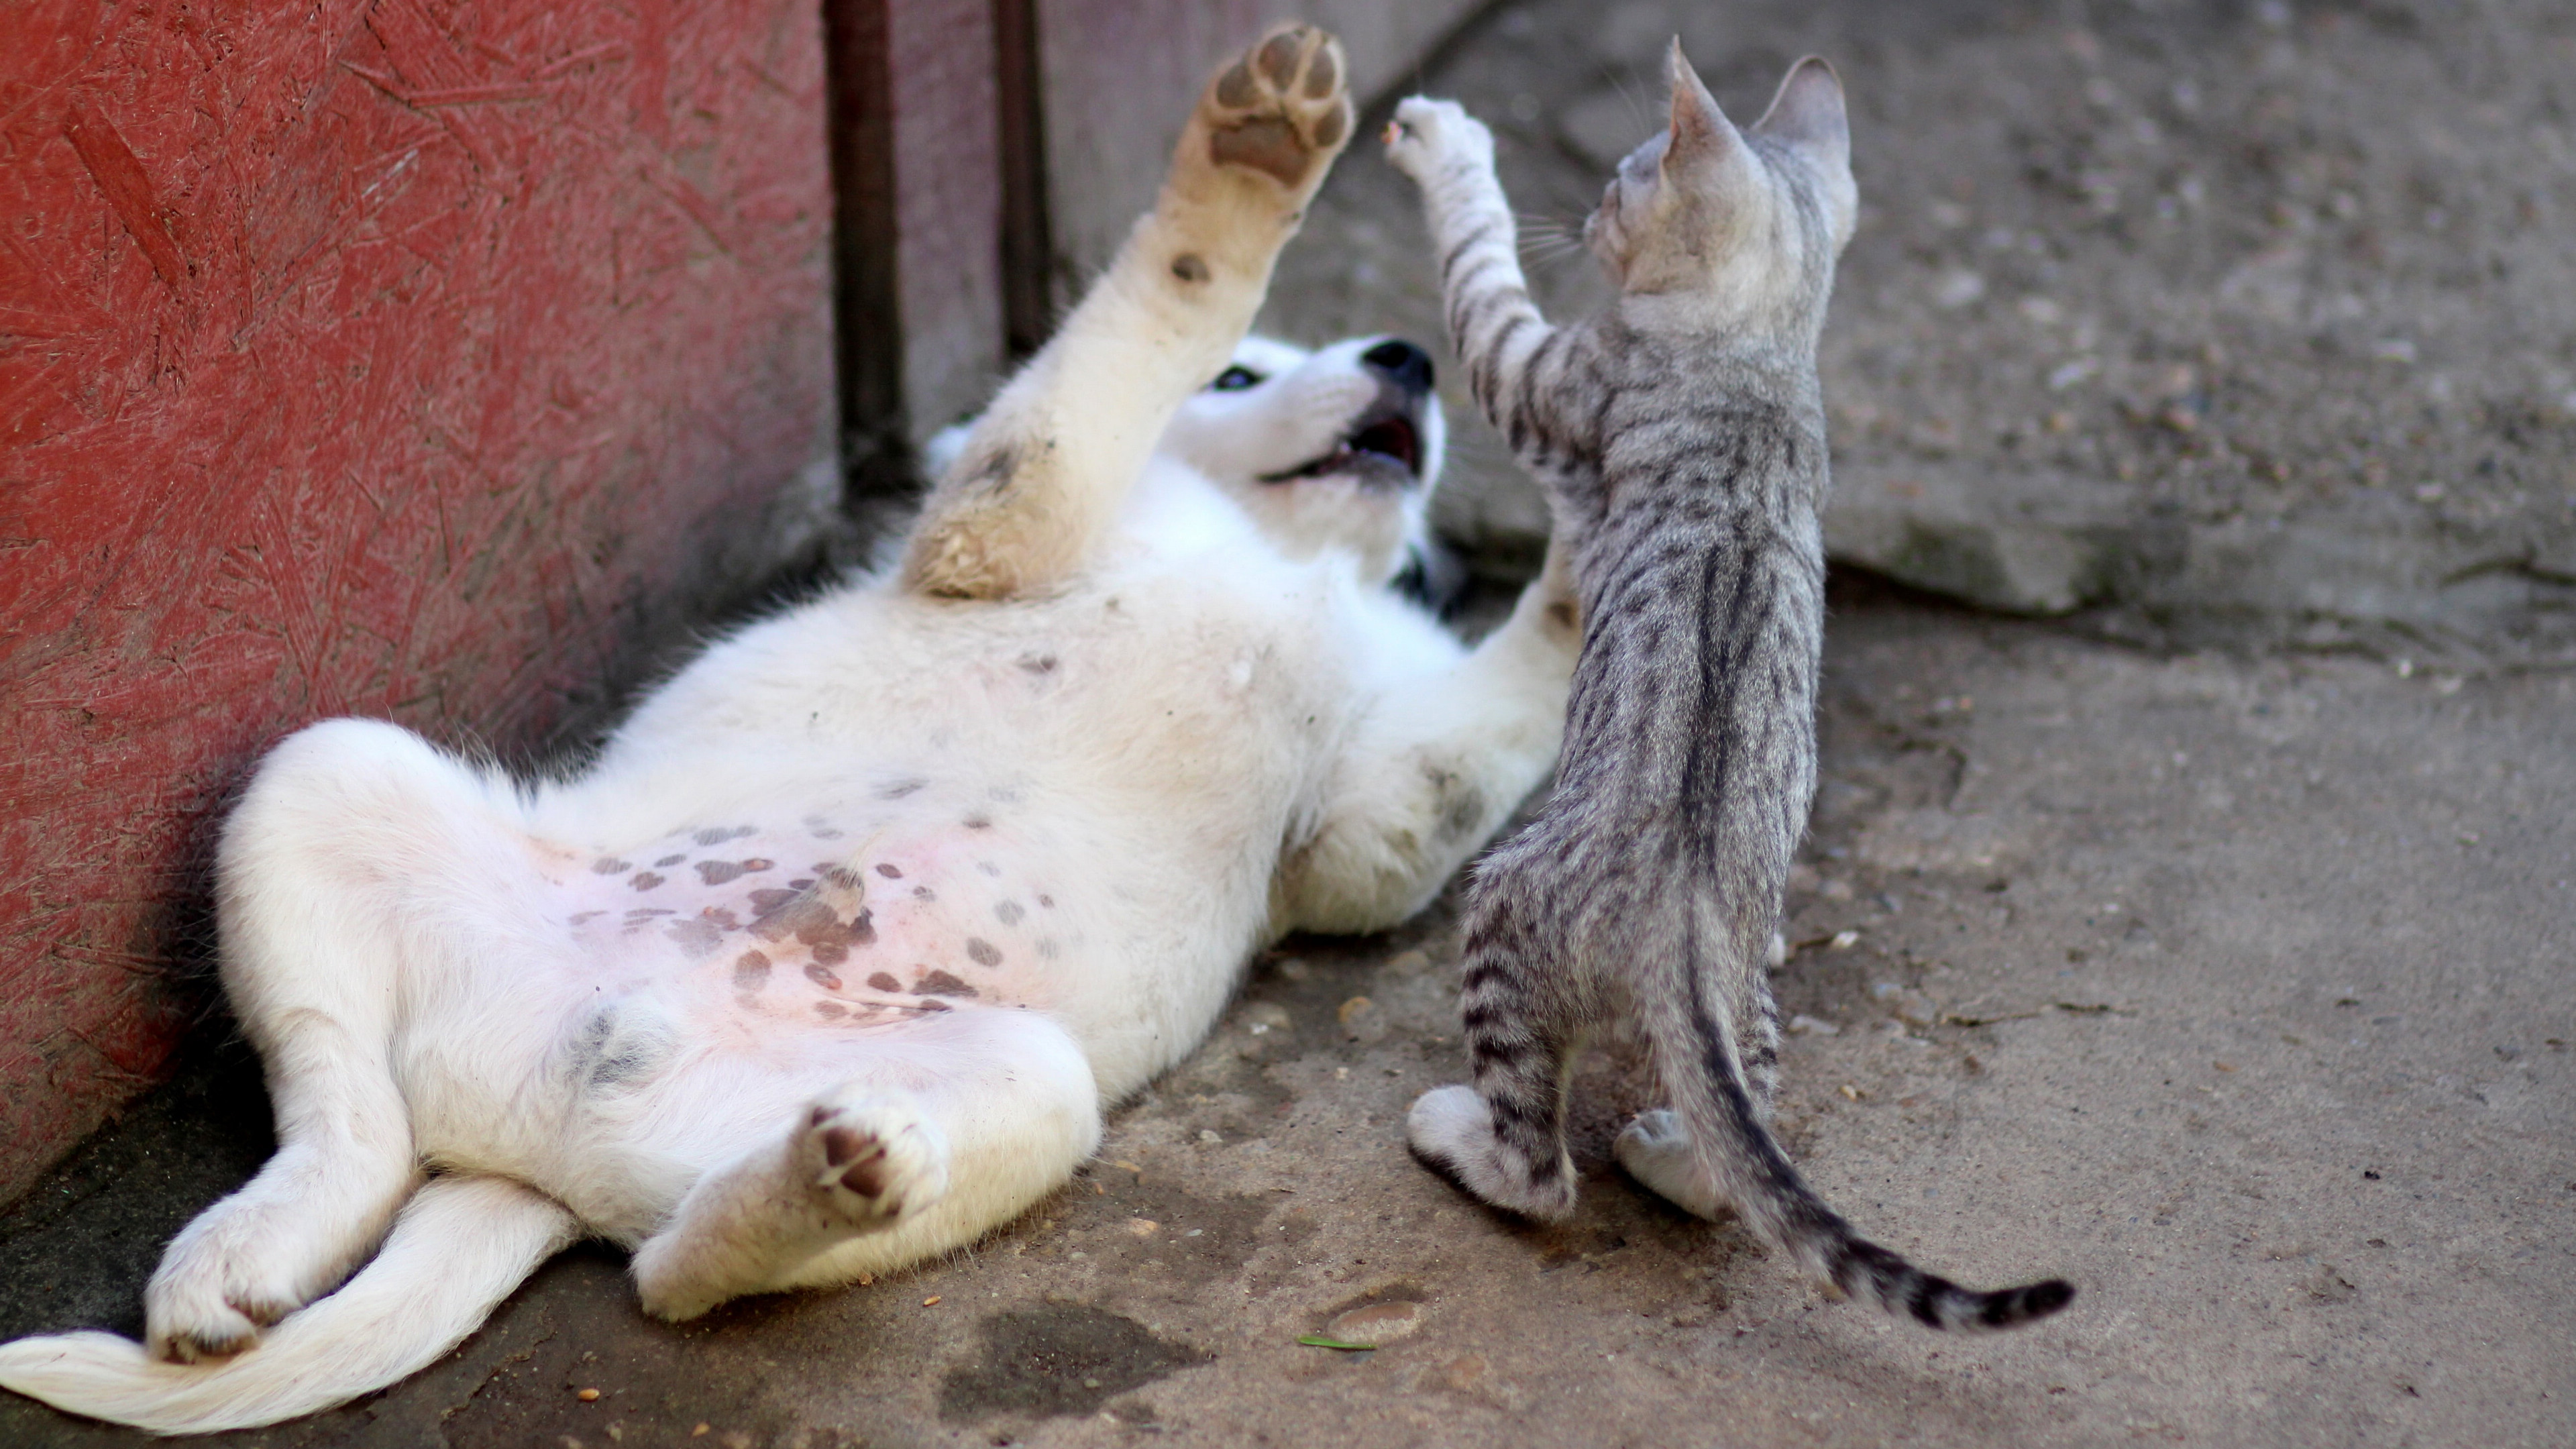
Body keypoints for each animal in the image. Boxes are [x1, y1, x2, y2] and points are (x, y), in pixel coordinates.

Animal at [0, 25, 1587, 1433]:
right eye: (1244, 375)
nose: (1410, 358)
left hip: (1029, 1084)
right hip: (321, 771)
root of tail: (532, 1144)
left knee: (666, 1267)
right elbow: (1145, 323)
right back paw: (239, 1257)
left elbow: (1501, 709)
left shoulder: (1367, 825)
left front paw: (1606, 496)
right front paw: (1254, 161)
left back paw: (825, 1181)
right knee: (352, 1118)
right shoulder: (1004, 532)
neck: (1281, 560)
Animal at [1391, 42, 2071, 1330]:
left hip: (1499, 908)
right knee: (1728, 1163)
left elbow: (1476, 265)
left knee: (1542, 1175)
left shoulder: (1539, 371)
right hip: (1753, 986)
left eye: (1622, 179)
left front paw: (1447, 144)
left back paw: (1461, 1137)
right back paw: (1669, 1149)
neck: (1759, 347)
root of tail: (1679, 927)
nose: (1591, 210)